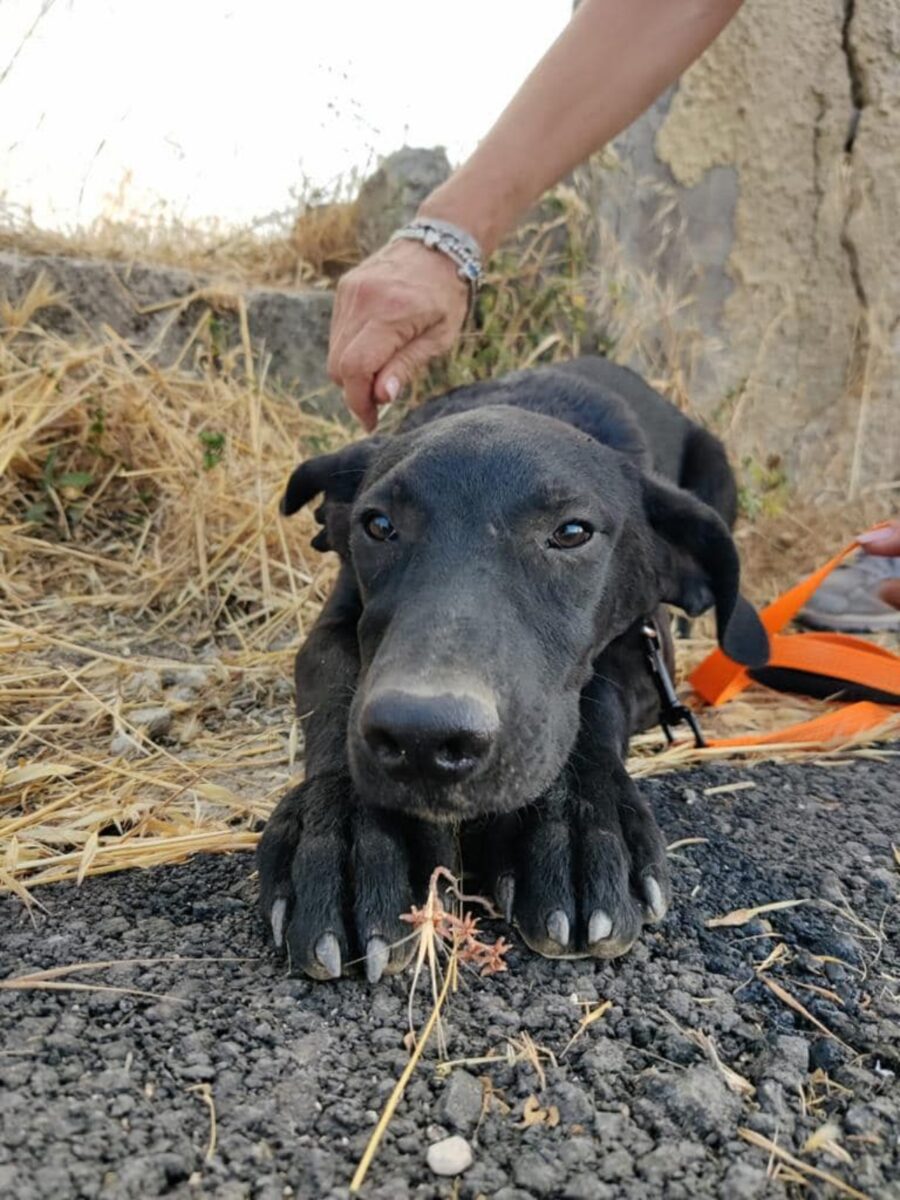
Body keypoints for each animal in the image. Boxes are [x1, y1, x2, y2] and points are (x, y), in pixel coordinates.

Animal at [259, 355, 768, 974]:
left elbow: (595, 698)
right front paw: (354, 837)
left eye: (572, 532)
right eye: (377, 524)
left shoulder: (646, 649)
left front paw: (575, 831)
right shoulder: (331, 631)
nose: (422, 740)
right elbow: (337, 694)